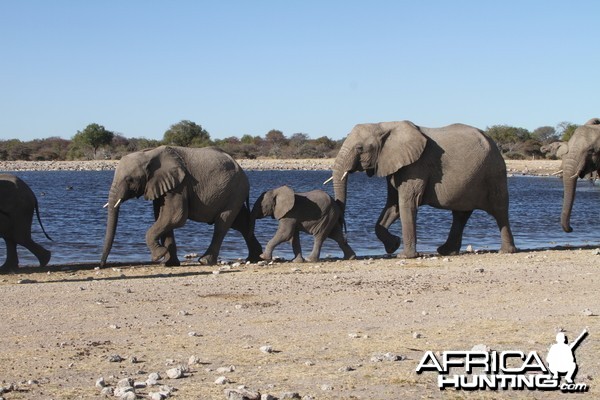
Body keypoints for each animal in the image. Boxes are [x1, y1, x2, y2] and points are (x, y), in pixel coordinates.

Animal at [328, 120, 516, 260]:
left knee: (499, 210)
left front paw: (404, 256)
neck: (384, 124)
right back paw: (446, 251)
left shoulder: (416, 166)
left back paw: (506, 251)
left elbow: (407, 203)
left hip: (494, 172)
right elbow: (393, 205)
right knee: (460, 215)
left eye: (359, 148)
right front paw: (393, 245)